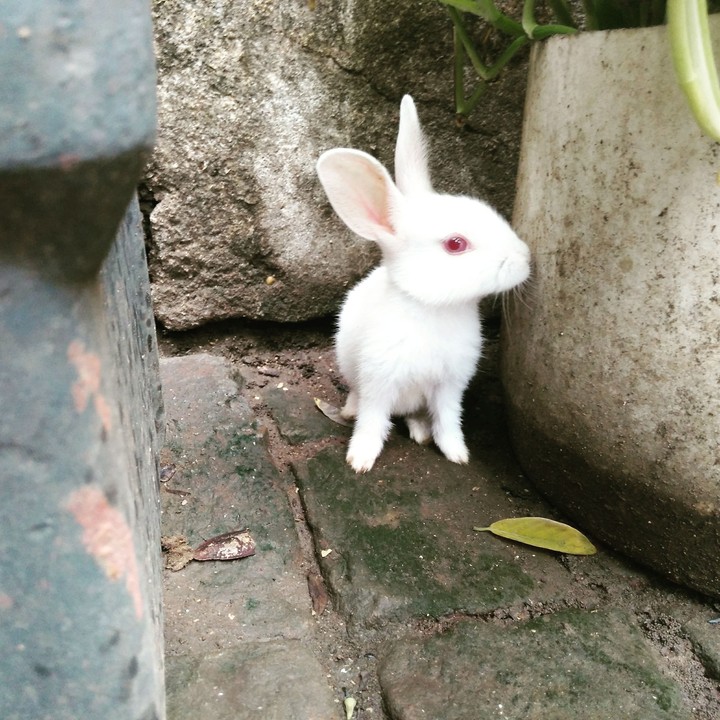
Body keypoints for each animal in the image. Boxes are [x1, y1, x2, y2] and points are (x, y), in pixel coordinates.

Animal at [316, 95, 530, 473]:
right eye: (455, 244)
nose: (525, 258)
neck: (432, 308)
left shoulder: (450, 387)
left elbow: (448, 421)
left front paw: (457, 454)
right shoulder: (378, 382)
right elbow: (372, 421)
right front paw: (360, 460)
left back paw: (420, 432)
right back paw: (350, 410)